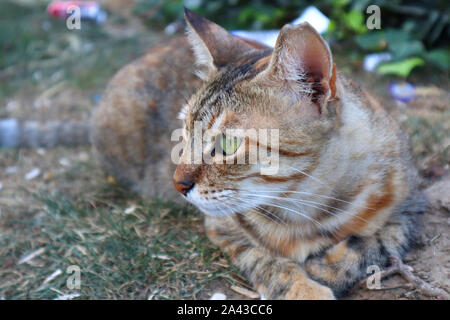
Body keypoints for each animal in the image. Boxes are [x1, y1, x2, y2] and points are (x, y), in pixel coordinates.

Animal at [90, 10, 426, 300]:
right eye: (184, 133)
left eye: (227, 144)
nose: (178, 185)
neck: (307, 208)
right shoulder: (222, 226)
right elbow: (264, 258)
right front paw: (303, 289)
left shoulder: (409, 206)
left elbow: (377, 240)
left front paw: (327, 267)